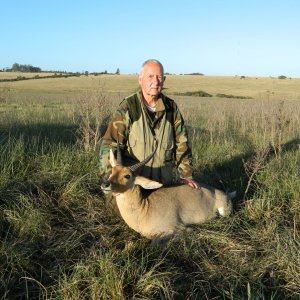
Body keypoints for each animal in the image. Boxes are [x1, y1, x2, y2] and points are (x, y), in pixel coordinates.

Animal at [101, 139, 234, 245]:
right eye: (112, 171)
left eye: (127, 176)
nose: (105, 184)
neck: (144, 209)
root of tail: (223, 193)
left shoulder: (176, 229)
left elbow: (156, 244)